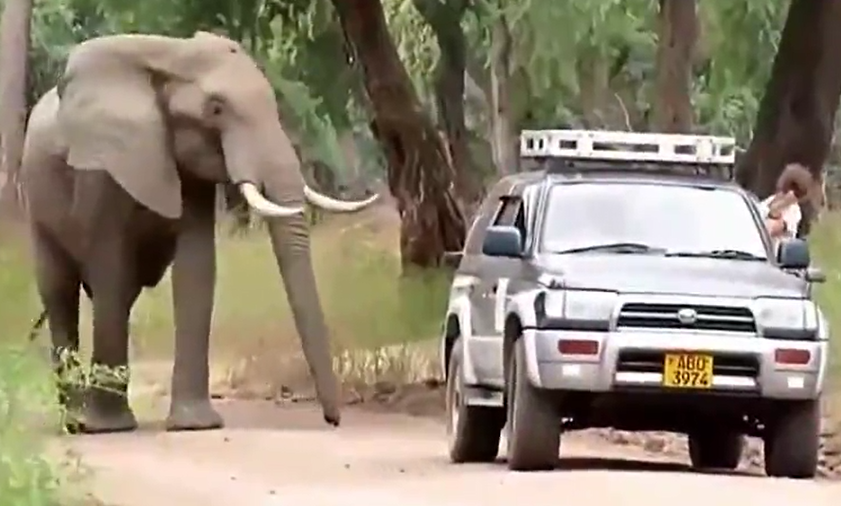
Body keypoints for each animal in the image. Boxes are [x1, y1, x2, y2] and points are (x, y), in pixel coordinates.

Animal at [11, 31, 378, 433]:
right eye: (216, 109)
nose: (332, 421)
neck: (172, 55)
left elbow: (197, 268)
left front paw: (195, 425)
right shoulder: (103, 166)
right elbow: (110, 265)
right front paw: (111, 428)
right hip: (38, 206)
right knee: (61, 292)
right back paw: (77, 423)